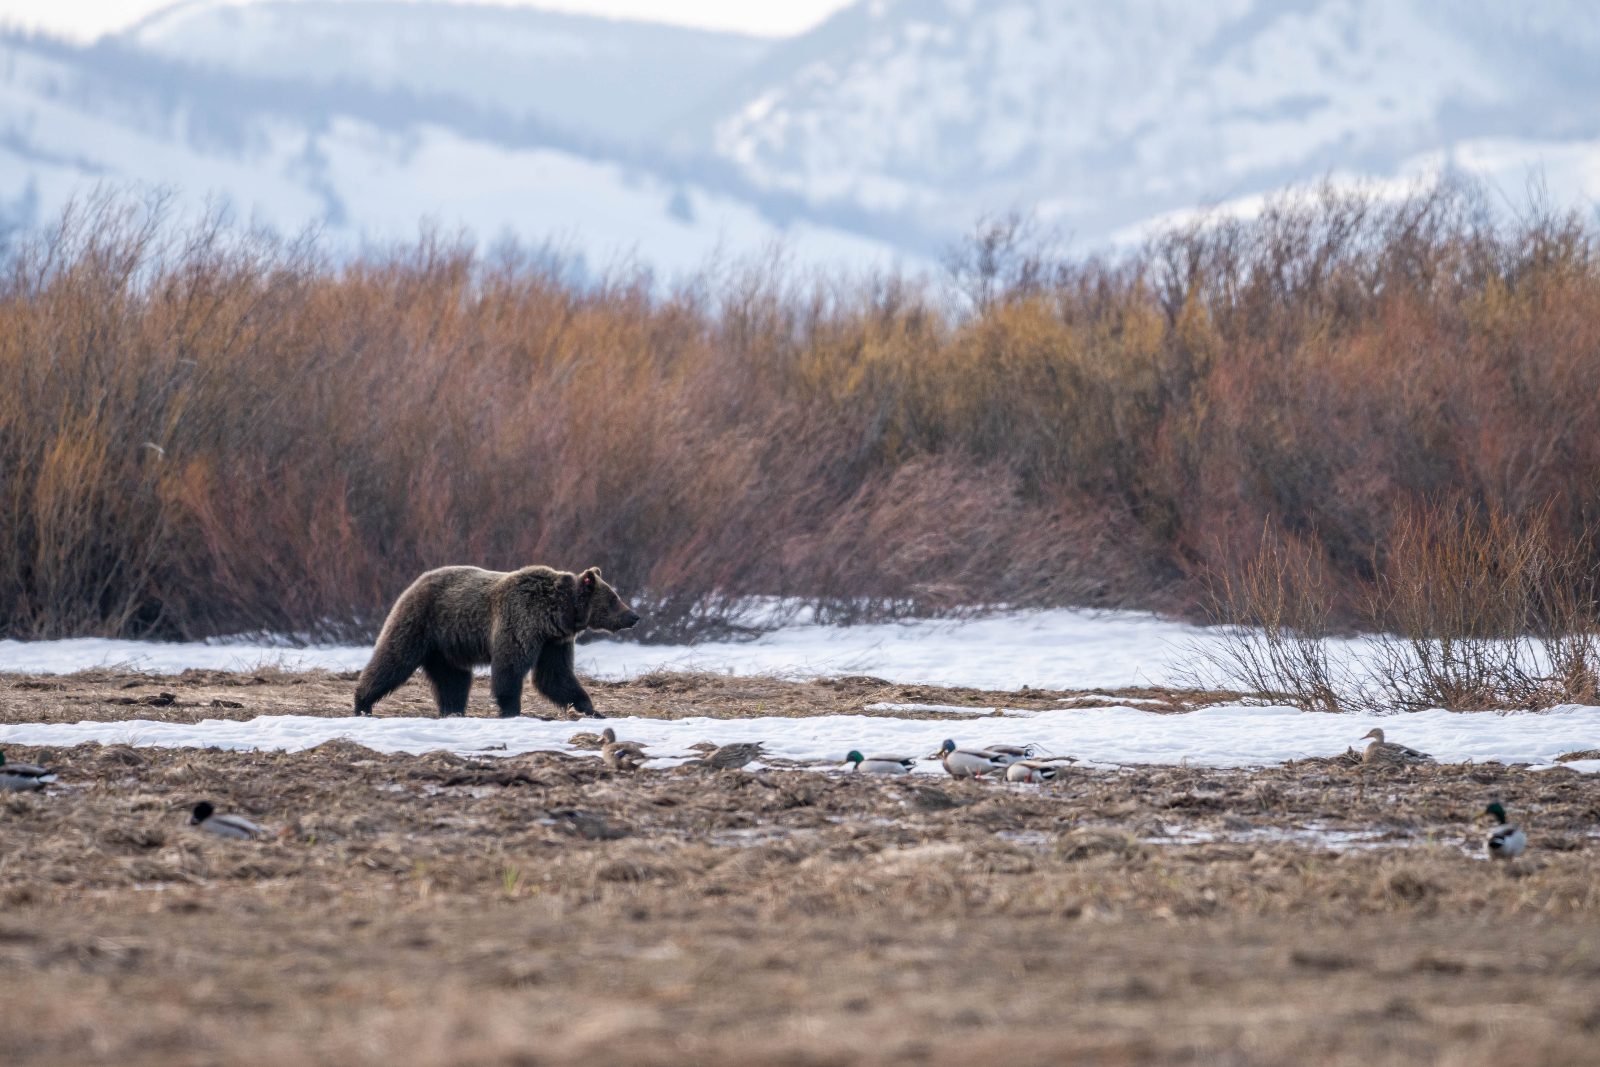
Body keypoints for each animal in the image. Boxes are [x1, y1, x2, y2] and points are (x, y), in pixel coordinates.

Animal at [352, 564, 639, 719]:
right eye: (614, 598)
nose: (633, 616)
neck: (556, 612)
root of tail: (418, 580)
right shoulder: (521, 620)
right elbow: (509, 668)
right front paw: (511, 709)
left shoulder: (553, 642)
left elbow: (555, 676)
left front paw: (591, 709)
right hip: (421, 623)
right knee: (393, 659)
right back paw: (362, 703)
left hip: (447, 648)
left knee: (454, 680)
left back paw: (453, 710)